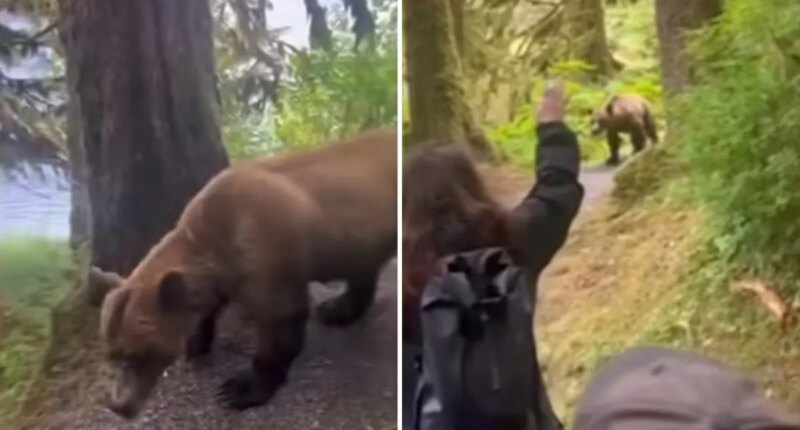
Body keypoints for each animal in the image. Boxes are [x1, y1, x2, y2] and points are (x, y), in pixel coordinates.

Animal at [89, 129, 397, 419]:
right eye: (111, 353)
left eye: (139, 353)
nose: (119, 406)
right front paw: (197, 343)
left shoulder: (266, 253)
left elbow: (280, 323)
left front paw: (239, 389)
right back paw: (336, 308)